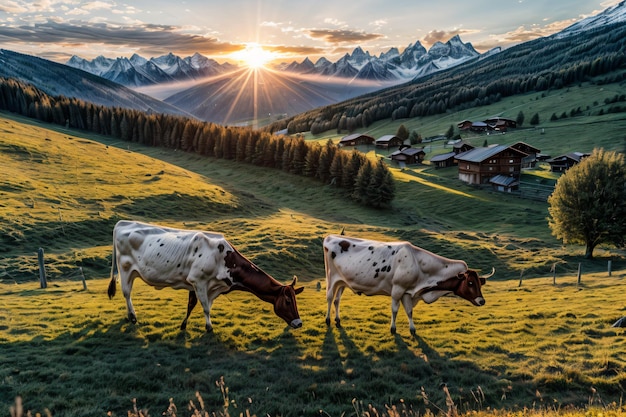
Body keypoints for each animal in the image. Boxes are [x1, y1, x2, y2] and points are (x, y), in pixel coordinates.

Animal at [322, 234, 492, 334]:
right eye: (470, 282)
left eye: (480, 283)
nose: (482, 301)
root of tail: (331, 236)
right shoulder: (398, 289)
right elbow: (395, 310)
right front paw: (393, 329)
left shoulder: (407, 292)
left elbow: (409, 312)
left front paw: (412, 329)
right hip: (331, 277)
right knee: (330, 298)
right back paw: (328, 320)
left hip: (342, 282)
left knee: (337, 300)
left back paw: (337, 320)